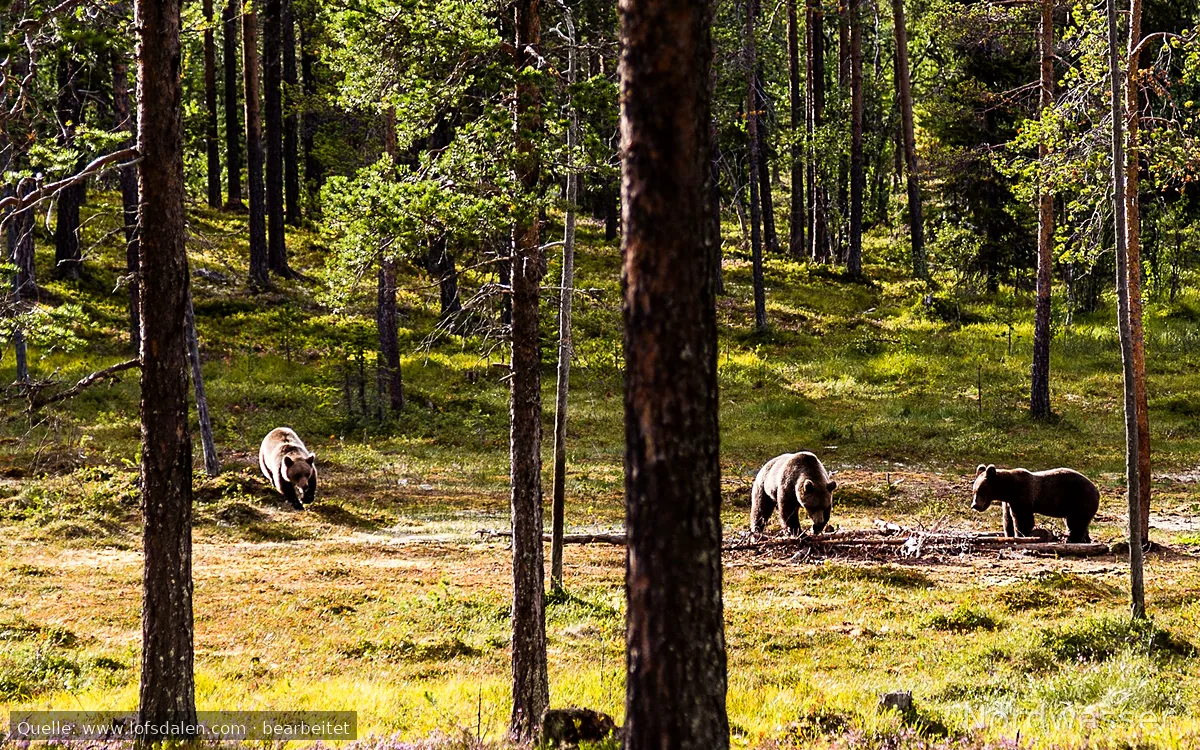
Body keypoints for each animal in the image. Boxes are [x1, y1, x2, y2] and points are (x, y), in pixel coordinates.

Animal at [971, 464, 1099, 543]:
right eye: (974, 491)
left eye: (980, 490)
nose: (974, 505)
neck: (1008, 490)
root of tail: (1097, 491)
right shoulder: (1008, 502)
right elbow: (1008, 519)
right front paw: (1009, 535)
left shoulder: (1022, 495)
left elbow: (1023, 519)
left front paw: (1021, 536)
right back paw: (1085, 540)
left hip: (1079, 499)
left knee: (1076, 522)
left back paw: (1072, 539)